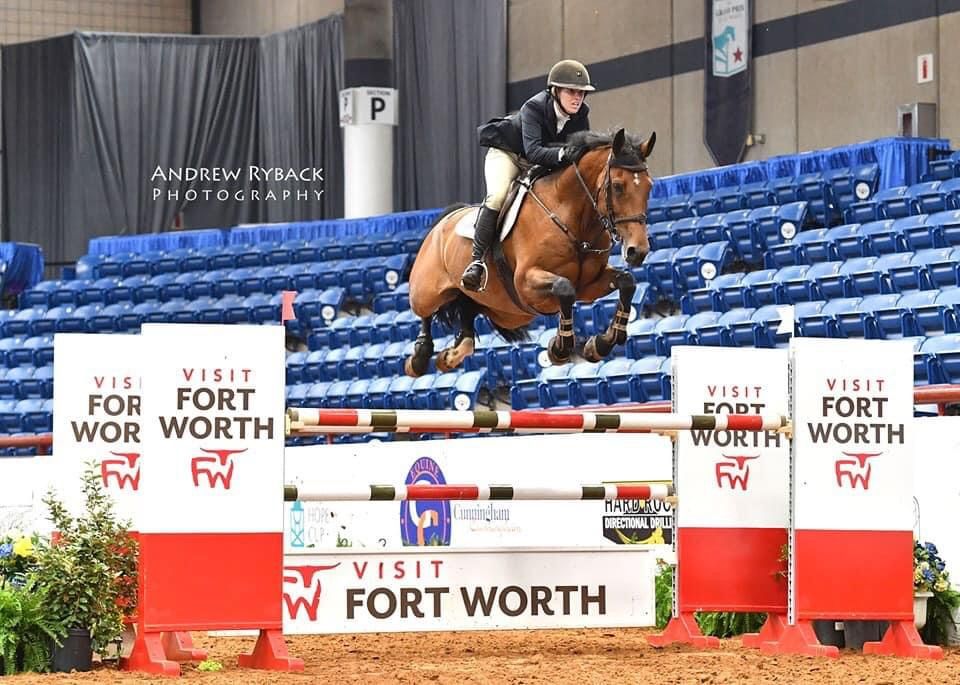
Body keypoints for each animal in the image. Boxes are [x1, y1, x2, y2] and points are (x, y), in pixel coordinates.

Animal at [402, 125, 656, 376]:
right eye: (618, 186)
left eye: (649, 186)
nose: (638, 251)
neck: (573, 217)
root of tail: (444, 221)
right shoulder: (525, 281)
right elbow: (564, 288)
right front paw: (560, 349)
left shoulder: (588, 285)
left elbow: (627, 282)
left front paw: (600, 344)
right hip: (427, 291)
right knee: (424, 312)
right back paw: (419, 358)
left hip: (504, 312)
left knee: (467, 313)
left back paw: (449, 356)